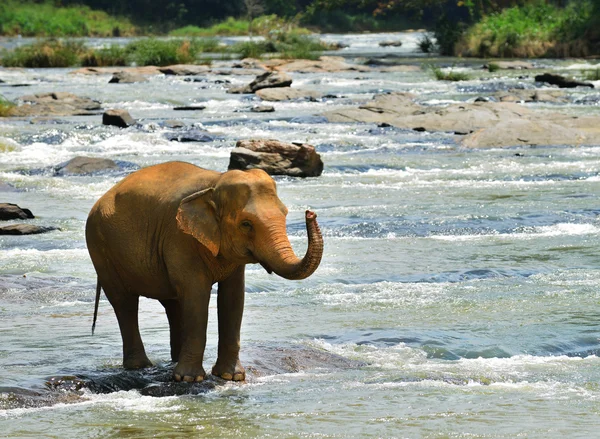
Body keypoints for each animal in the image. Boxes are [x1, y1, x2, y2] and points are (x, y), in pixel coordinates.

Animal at [84, 161, 324, 382]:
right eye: (246, 224)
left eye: (285, 214)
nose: (310, 213)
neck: (215, 183)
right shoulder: (179, 236)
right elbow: (196, 294)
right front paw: (190, 379)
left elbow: (233, 297)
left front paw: (231, 377)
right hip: (100, 248)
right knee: (124, 302)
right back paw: (141, 367)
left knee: (172, 304)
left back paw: (173, 362)